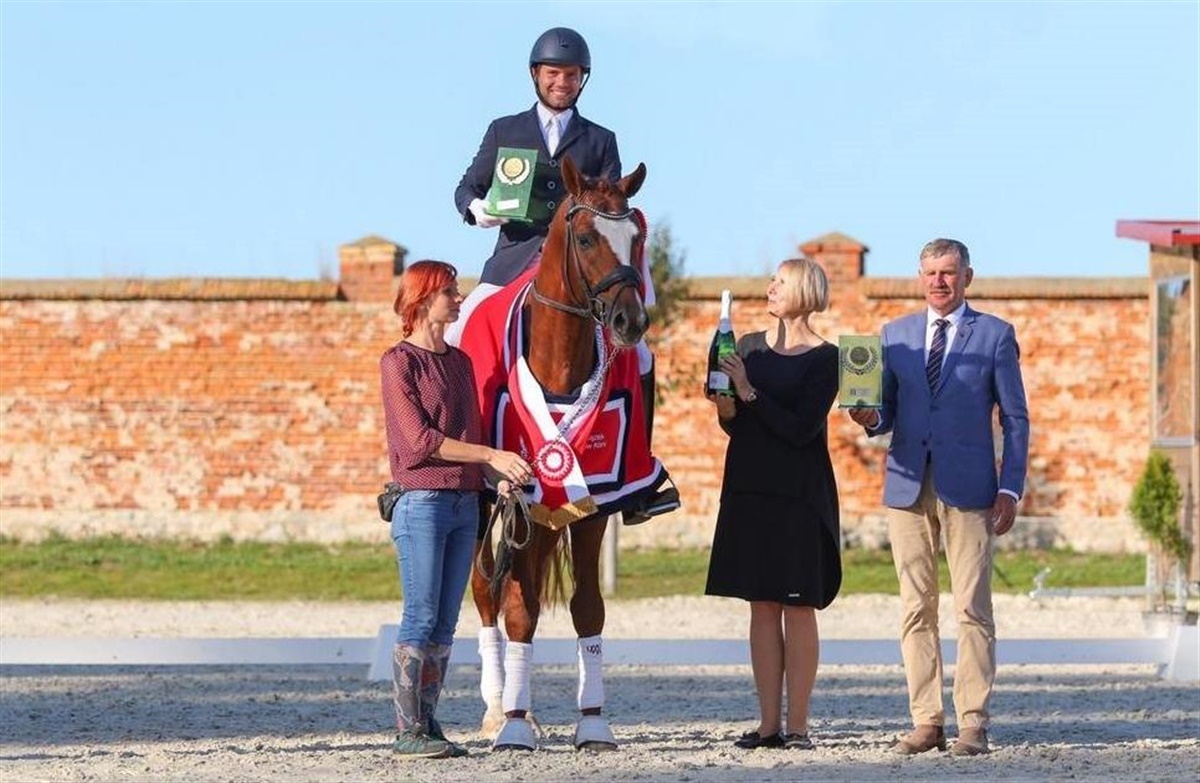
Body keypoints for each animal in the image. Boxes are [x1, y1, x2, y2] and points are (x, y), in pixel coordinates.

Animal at [455, 155, 668, 751]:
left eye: (637, 236)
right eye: (587, 236)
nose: (629, 322)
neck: (561, 362)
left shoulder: (594, 503)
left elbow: (587, 607)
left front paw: (592, 720)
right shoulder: (518, 499)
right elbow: (518, 608)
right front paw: (512, 725)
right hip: (483, 504)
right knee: (486, 591)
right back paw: (496, 707)